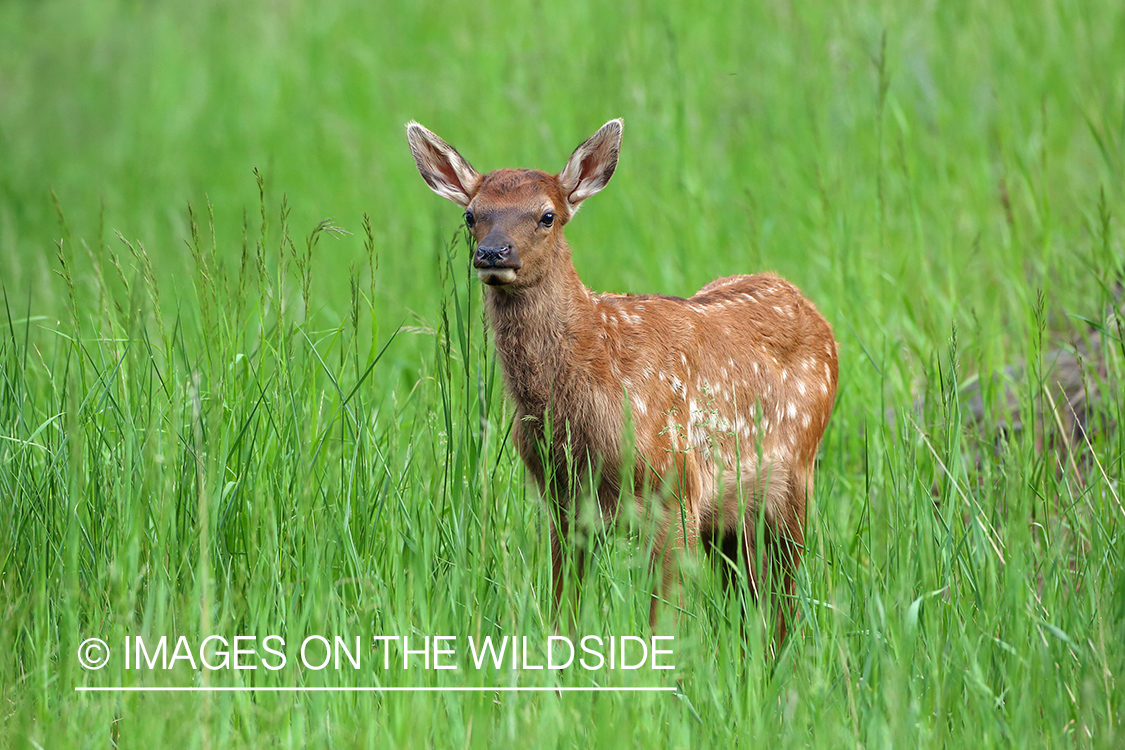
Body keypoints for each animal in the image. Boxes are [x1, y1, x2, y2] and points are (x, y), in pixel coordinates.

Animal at [405, 118, 837, 638]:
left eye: (547, 216)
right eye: (471, 215)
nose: (493, 253)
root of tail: (810, 308)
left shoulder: (677, 490)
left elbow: (662, 622)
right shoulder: (564, 505)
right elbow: (563, 613)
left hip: (796, 476)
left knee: (784, 602)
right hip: (731, 516)